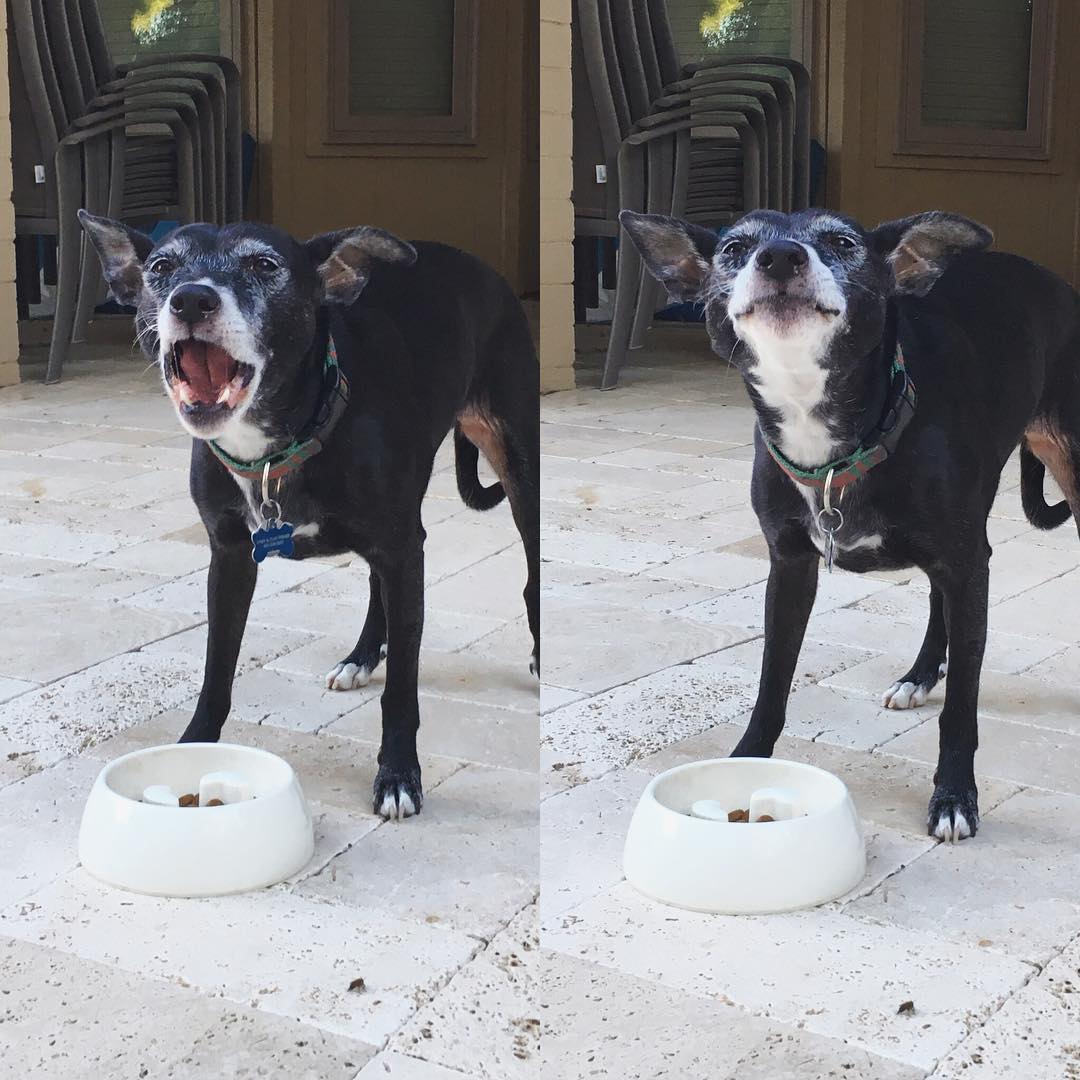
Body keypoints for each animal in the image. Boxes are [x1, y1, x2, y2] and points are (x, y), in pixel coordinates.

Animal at [79, 210, 540, 816]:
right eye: (160, 267)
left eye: (264, 264)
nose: (191, 300)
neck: (275, 447)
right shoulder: (231, 557)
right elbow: (216, 669)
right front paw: (193, 748)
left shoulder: (401, 547)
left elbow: (403, 689)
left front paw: (398, 774)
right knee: (376, 582)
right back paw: (363, 654)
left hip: (517, 462)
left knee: (530, 569)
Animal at [622, 204, 1080, 842]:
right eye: (736, 247)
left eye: (842, 242)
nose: (780, 257)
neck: (833, 440)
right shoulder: (790, 568)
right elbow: (772, 681)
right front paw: (743, 763)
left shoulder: (967, 565)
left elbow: (963, 705)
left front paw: (954, 795)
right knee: (937, 595)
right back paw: (919, 674)